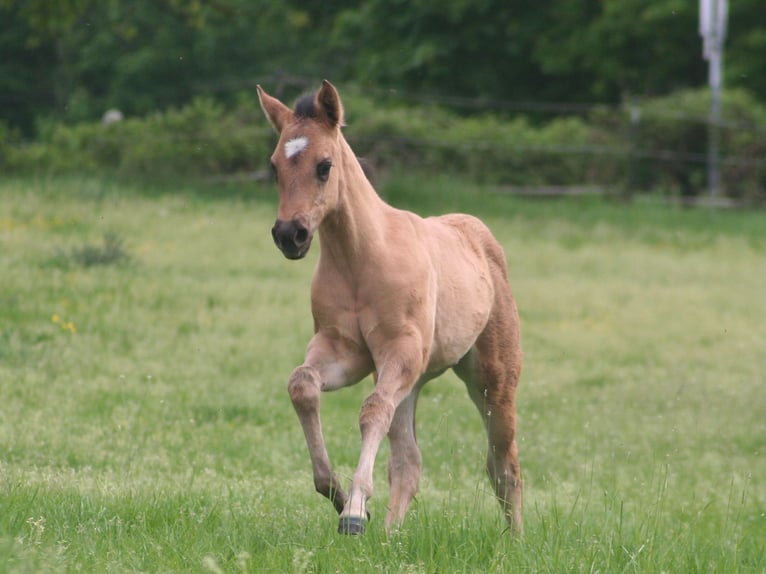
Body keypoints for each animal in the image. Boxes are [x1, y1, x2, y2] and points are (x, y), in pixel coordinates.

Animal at [257, 80, 523, 535]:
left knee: (504, 463)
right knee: (408, 461)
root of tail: (480, 235)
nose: (290, 234)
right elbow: (302, 384)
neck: (361, 259)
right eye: (275, 166)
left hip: (492, 379)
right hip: (410, 380)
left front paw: (352, 511)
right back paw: (388, 535)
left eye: (324, 166)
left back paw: (516, 540)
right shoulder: (346, 353)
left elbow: (372, 409)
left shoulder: (399, 350)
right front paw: (337, 494)